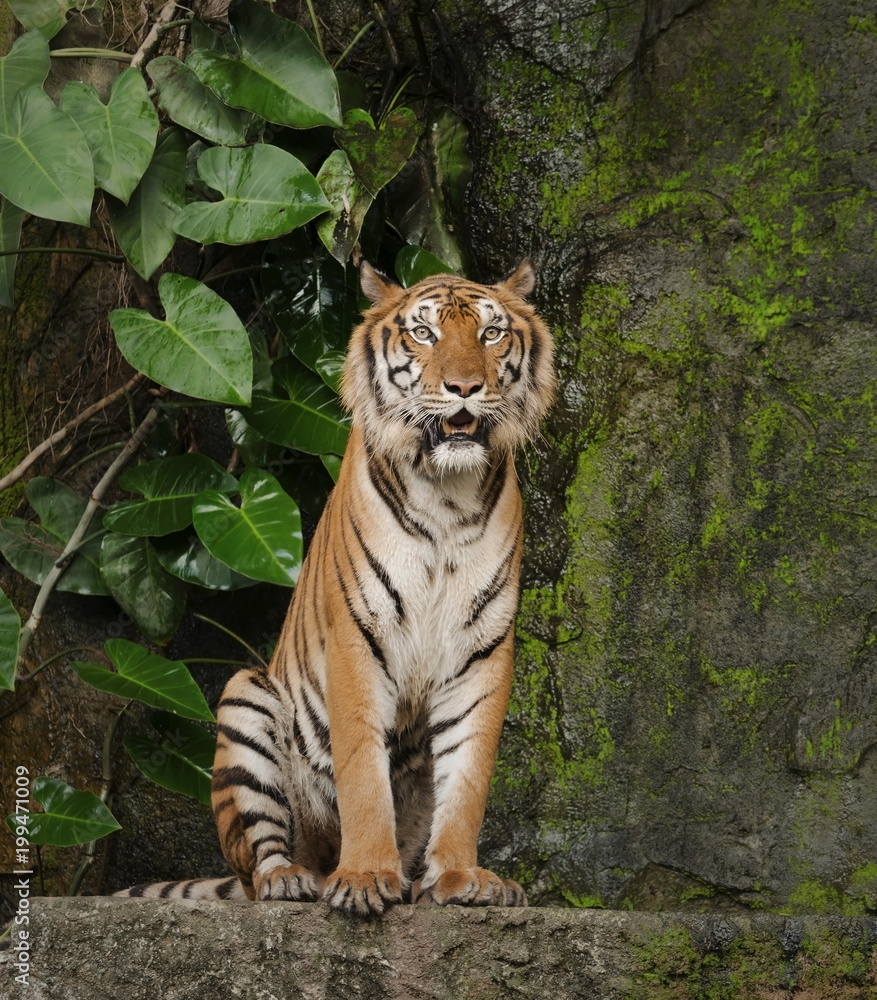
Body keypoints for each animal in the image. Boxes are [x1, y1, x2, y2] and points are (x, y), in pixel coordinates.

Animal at [117, 259, 556, 916]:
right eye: (424, 334)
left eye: (490, 334)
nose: (465, 388)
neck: (447, 498)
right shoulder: (357, 635)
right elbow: (361, 771)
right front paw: (367, 876)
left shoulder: (482, 649)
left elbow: (469, 775)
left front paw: (460, 876)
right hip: (245, 698)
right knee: (260, 863)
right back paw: (295, 879)